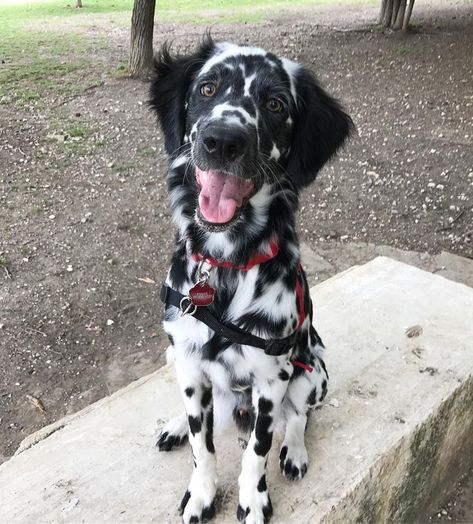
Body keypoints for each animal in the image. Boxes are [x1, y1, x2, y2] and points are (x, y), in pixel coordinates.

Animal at [149, 37, 352, 524]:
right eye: (207, 88)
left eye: (276, 103)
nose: (223, 140)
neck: (227, 265)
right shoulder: (190, 364)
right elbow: (203, 447)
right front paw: (201, 494)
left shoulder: (271, 380)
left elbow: (256, 452)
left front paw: (254, 499)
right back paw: (174, 426)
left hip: (314, 372)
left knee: (297, 418)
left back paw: (295, 452)